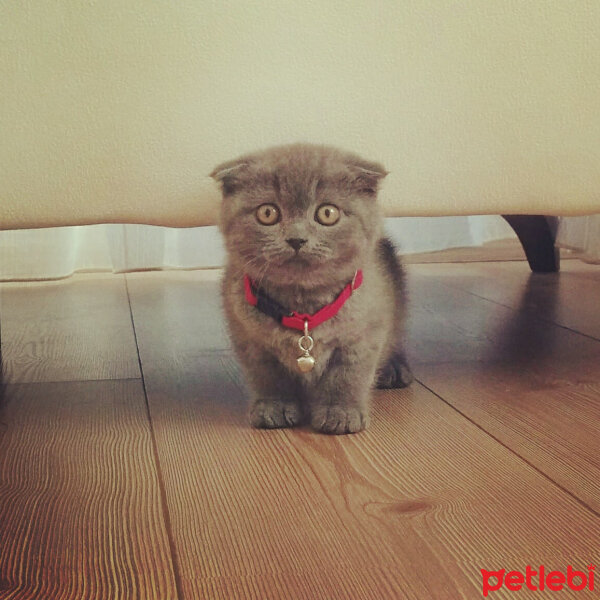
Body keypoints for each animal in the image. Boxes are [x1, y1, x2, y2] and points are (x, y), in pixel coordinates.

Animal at [211, 145, 412, 436]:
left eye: (327, 213)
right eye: (267, 213)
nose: (296, 239)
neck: (302, 306)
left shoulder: (364, 335)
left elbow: (348, 376)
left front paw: (341, 413)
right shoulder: (249, 339)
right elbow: (267, 377)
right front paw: (274, 407)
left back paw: (395, 369)